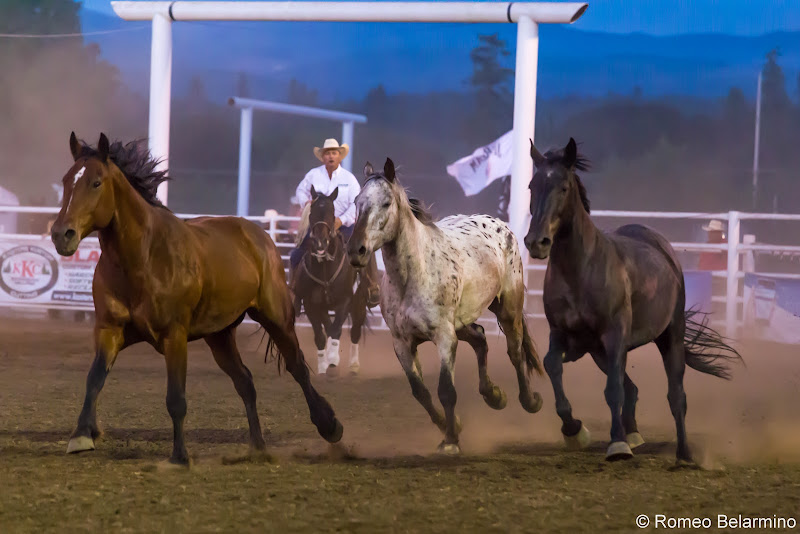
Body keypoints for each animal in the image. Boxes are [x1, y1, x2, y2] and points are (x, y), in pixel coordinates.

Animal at [49, 133, 344, 464]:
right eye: (66, 180)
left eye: (96, 182)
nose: (62, 234)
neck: (144, 258)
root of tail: (257, 235)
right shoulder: (109, 330)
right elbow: (94, 378)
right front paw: (81, 435)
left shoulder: (174, 336)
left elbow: (176, 397)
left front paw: (179, 456)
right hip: (220, 335)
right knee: (245, 381)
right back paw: (257, 446)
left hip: (276, 317)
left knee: (297, 367)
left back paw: (330, 426)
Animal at [294, 186, 368, 378]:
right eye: (311, 213)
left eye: (332, 212)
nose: (320, 242)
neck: (325, 268)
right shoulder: (311, 304)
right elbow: (320, 335)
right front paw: (323, 366)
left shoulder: (345, 301)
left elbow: (336, 330)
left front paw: (333, 360)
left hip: (359, 303)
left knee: (355, 331)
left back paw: (353, 365)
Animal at [346, 159, 544, 456]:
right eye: (358, 201)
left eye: (386, 203)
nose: (356, 250)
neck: (411, 277)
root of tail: (499, 224)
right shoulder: (402, 343)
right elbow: (420, 392)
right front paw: (453, 427)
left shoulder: (444, 338)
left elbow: (446, 390)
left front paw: (450, 441)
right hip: (461, 323)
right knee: (481, 339)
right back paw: (494, 395)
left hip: (507, 309)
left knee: (515, 351)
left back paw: (529, 401)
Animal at [520, 137, 740, 464]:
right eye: (532, 186)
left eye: (563, 187)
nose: (537, 242)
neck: (580, 270)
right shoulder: (563, 335)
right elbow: (552, 365)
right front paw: (574, 430)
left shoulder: (614, 336)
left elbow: (613, 391)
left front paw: (617, 444)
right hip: (601, 352)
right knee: (632, 388)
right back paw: (634, 434)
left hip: (669, 335)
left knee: (675, 395)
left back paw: (684, 454)